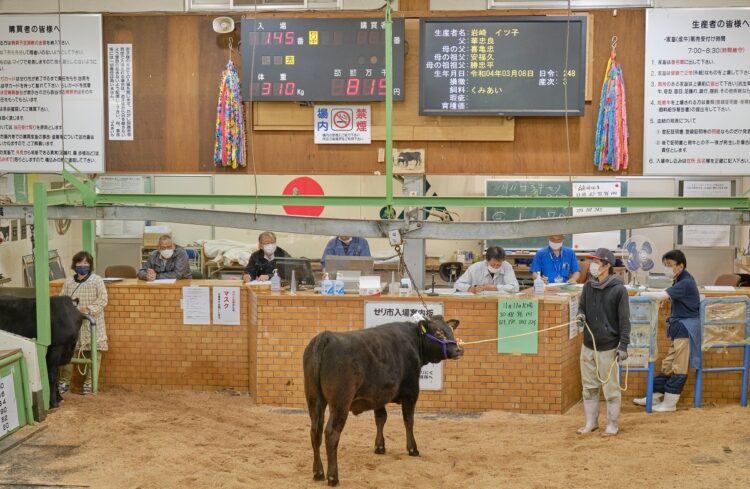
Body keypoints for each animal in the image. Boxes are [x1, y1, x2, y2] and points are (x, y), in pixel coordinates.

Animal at [302, 312, 462, 484]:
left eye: (451, 331)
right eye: (439, 333)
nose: (459, 350)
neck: (413, 340)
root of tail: (326, 336)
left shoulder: (378, 395)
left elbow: (381, 418)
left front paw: (379, 447)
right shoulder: (411, 390)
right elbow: (408, 420)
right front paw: (413, 449)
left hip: (314, 399)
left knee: (315, 432)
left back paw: (318, 472)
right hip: (340, 401)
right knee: (331, 433)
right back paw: (333, 477)